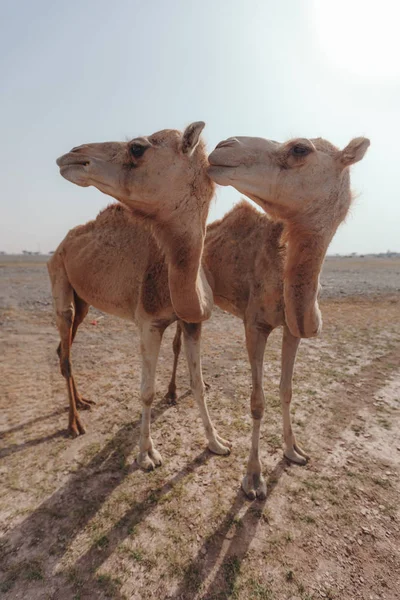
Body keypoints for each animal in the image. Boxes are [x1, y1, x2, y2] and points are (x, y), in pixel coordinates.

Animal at [47, 123, 231, 468]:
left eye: (136, 148)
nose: (73, 155)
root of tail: (61, 245)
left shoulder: (192, 321)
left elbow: (198, 384)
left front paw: (217, 443)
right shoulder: (148, 323)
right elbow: (146, 391)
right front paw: (147, 455)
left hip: (84, 302)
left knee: (63, 349)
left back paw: (83, 402)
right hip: (59, 280)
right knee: (65, 349)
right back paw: (75, 424)